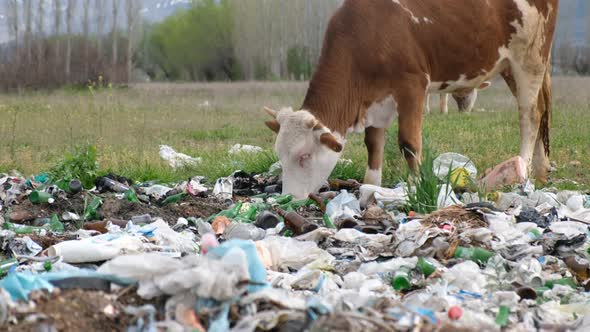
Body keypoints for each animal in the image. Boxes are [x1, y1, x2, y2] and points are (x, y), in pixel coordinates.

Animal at [266, 0, 560, 200]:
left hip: (530, 57)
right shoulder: (377, 100)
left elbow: (408, 143)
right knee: (542, 110)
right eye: (280, 155)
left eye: (304, 156)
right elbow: (374, 145)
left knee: (531, 114)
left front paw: (418, 185)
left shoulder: (413, 84)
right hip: (511, 66)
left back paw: (524, 168)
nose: (288, 197)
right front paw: (371, 185)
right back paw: (541, 170)